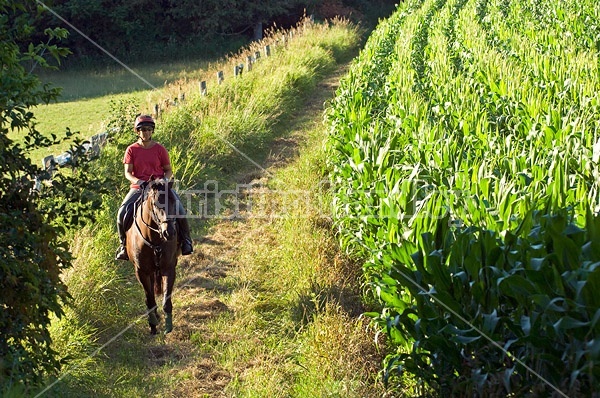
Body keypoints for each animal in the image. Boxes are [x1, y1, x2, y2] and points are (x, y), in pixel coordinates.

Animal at [127, 179, 179, 334]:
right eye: (156, 204)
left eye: (173, 201)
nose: (169, 232)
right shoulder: (141, 271)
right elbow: (149, 299)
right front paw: (153, 326)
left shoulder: (169, 269)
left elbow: (166, 300)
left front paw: (168, 327)